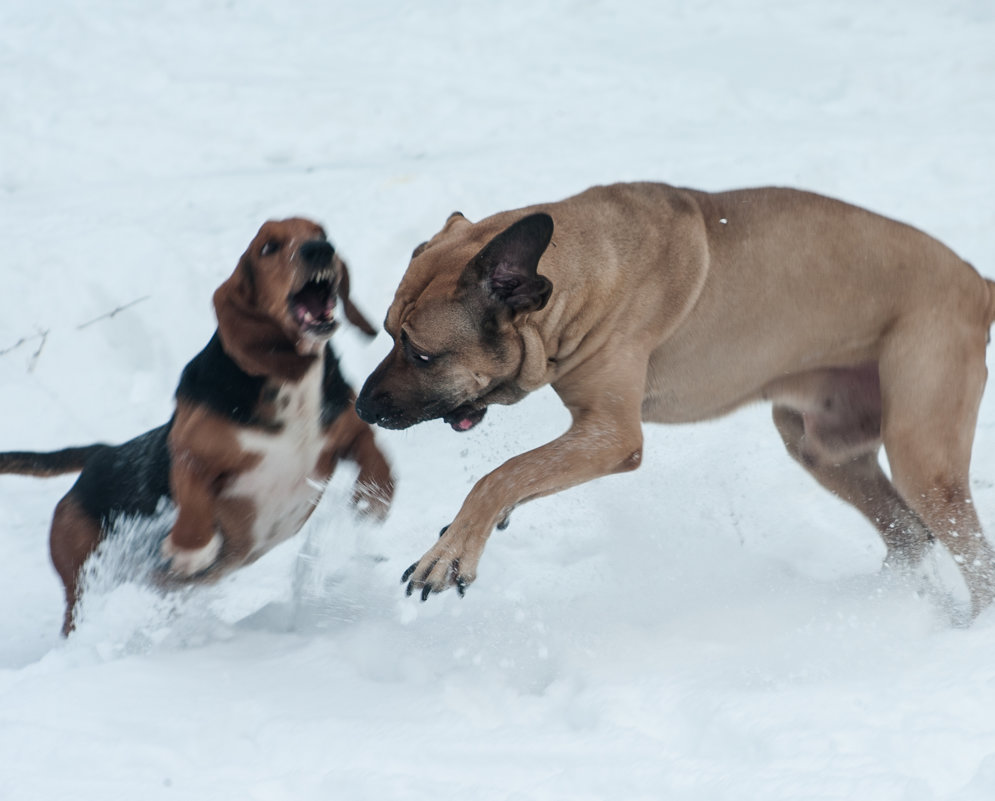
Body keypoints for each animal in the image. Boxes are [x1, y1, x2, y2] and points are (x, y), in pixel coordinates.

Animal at [0, 217, 396, 632]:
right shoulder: (192, 454)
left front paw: (372, 499)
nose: (320, 250)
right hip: (82, 574)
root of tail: (102, 455)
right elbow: (194, 501)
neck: (293, 380)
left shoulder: (346, 431)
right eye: (268, 247)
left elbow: (378, 458)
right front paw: (190, 550)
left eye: (321, 233)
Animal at [356, 183, 995, 612]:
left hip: (922, 454)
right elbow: (523, 475)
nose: (363, 408)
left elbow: (501, 474)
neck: (584, 268)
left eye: (421, 354)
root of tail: (978, 282)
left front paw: (451, 554)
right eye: (386, 332)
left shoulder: (611, 435)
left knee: (970, 555)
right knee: (908, 533)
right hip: (819, 444)